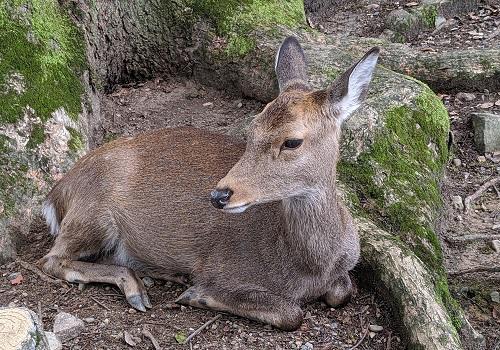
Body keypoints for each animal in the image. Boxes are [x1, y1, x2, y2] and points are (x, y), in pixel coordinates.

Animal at [38, 38, 378, 330]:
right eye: (251, 129)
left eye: (292, 141)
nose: (219, 194)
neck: (309, 267)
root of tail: (56, 194)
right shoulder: (220, 268)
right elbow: (291, 313)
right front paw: (198, 295)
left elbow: (343, 291)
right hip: (93, 213)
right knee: (51, 259)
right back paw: (137, 287)